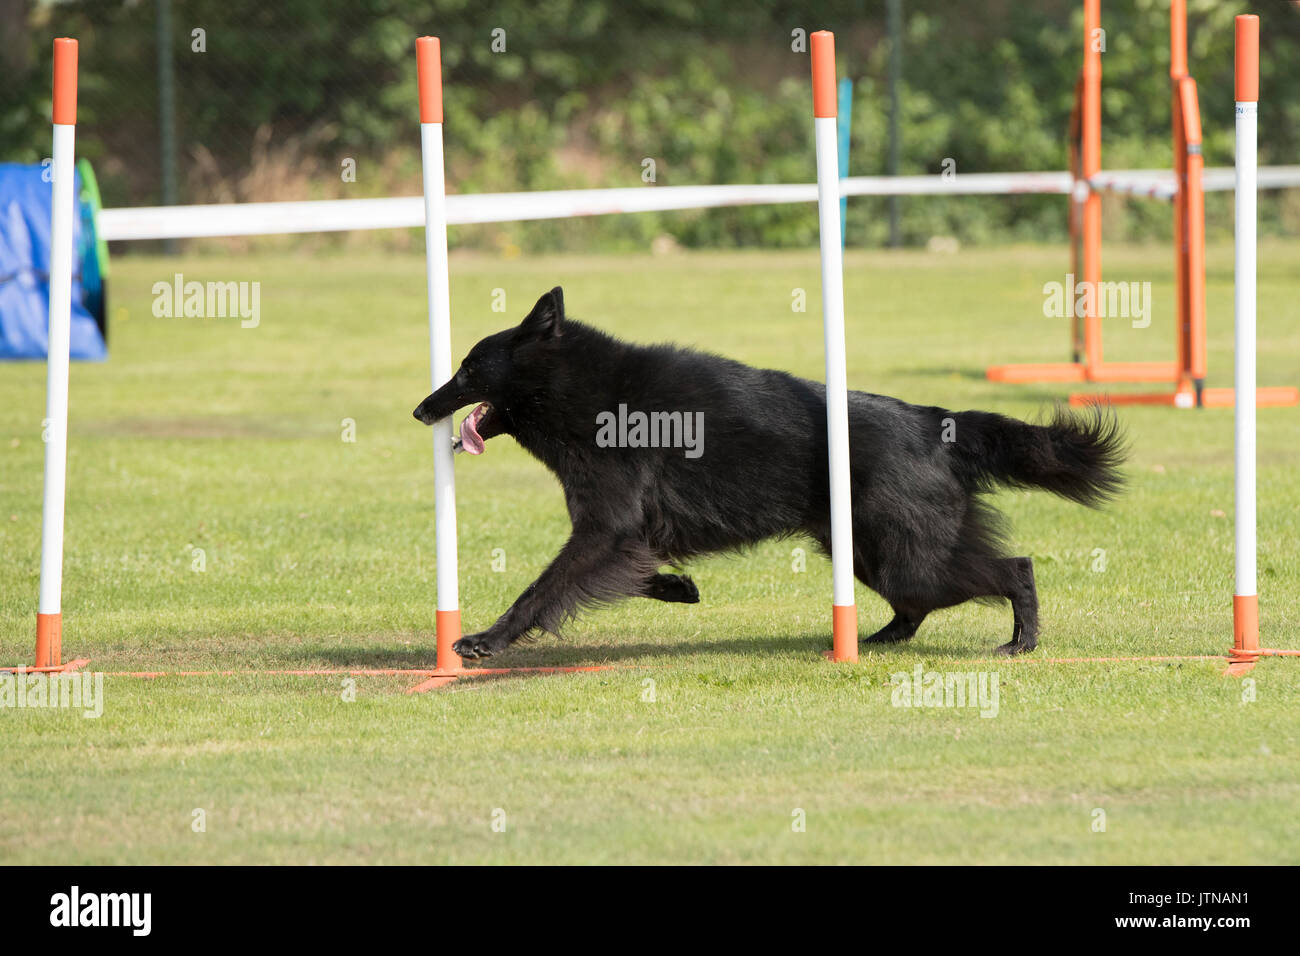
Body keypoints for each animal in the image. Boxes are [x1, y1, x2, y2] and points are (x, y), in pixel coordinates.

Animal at [410, 283, 1123, 658]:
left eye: (469, 369)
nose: (420, 410)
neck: (585, 393)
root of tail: (933, 421)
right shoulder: (619, 534)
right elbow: (623, 571)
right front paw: (677, 587)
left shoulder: (604, 528)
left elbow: (544, 588)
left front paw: (487, 640)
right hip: (867, 551)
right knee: (918, 603)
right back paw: (881, 639)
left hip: (905, 553)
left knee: (1012, 569)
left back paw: (1021, 641)